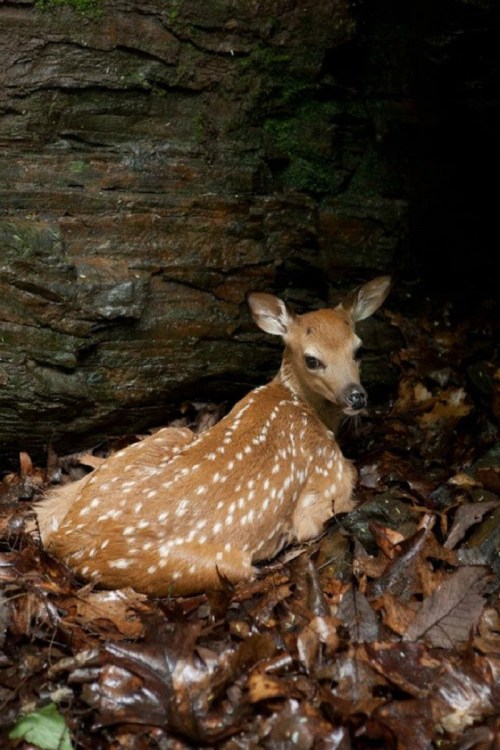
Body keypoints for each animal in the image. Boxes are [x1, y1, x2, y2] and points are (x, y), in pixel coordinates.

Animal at [35, 276, 391, 597]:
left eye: (358, 349)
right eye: (312, 359)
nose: (356, 396)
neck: (302, 404)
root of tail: (67, 539)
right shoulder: (327, 481)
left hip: (165, 437)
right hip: (217, 565)